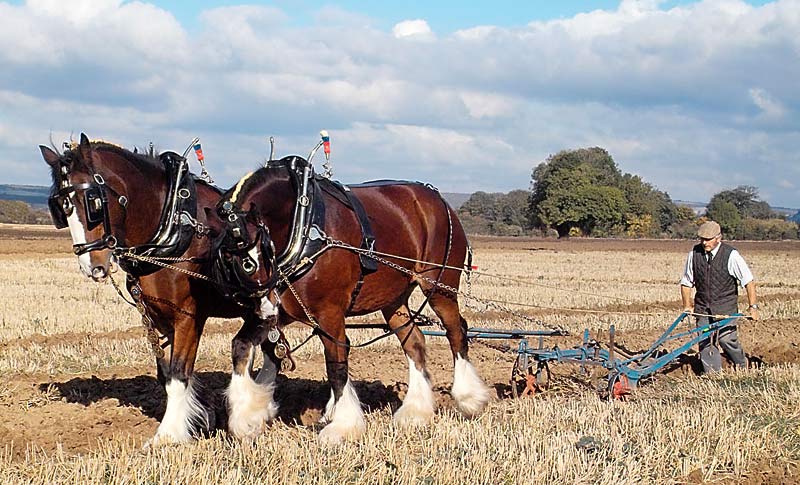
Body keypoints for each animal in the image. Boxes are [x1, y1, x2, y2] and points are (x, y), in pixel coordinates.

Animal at [41, 134, 278, 444]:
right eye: (60, 207)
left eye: (92, 202)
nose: (91, 266)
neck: (174, 229)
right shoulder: (155, 316)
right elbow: (165, 371)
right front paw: (201, 416)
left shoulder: (188, 316)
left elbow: (178, 372)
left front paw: (167, 434)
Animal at [212, 157, 490, 444]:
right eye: (230, 261)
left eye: (252, 260)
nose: (266, 310)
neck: (302, 223)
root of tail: (437, 198)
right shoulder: (283, 312)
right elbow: (240, 346)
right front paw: (246, 418)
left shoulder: (329, 313)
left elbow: (336, 364)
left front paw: (342, 426)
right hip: (394, 300)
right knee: (414, 342)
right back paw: (415, 411)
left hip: (440, 286)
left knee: (456, 331)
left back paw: (469, 399)